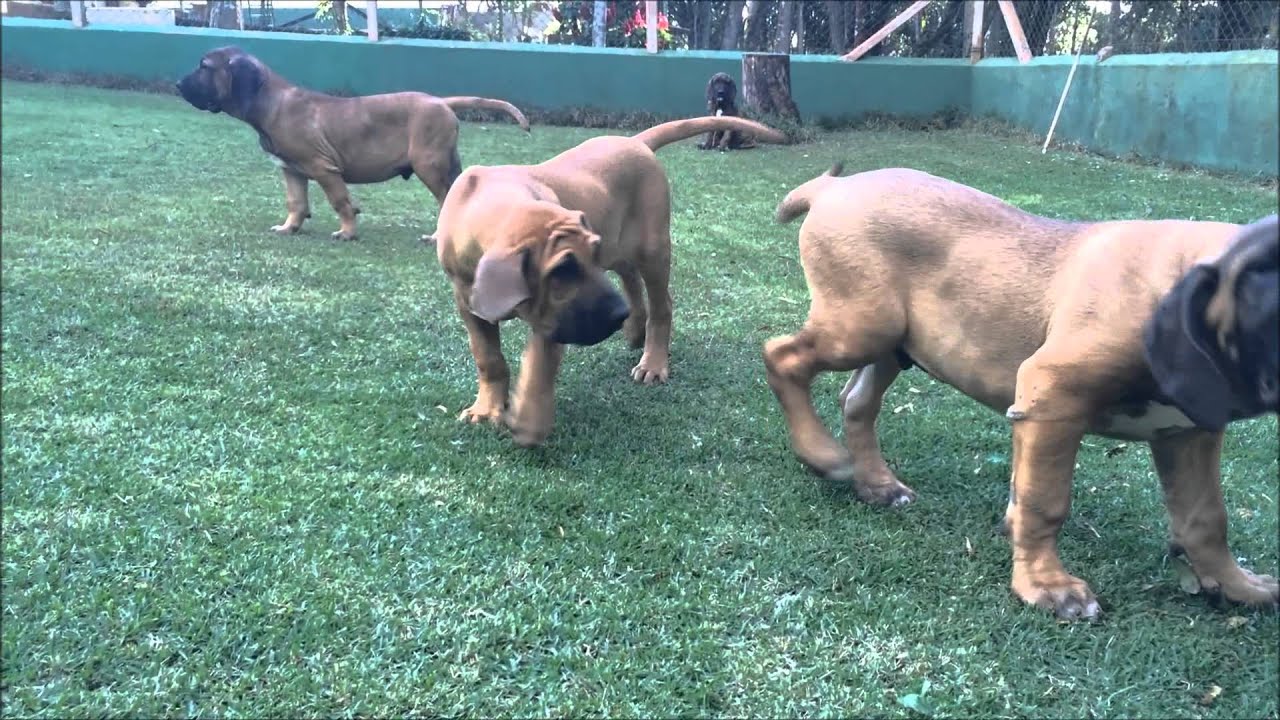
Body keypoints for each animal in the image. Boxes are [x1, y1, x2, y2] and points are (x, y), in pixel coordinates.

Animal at [174, 46, 524, 239]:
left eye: (205, 67)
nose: (177, 84)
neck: (271, 102)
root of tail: (441, 102)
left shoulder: (324, 169)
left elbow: (341, 202)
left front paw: (347, 232)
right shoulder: (292, 171)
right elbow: (296, 202)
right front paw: (290, 228)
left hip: (430, 165)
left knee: (445, 199)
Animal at [435, 114, 783, 445]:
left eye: (589, 253)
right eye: (562, 270)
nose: (617, 315)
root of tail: (635, 141)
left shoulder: (557, 318)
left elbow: (539, 367)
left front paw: (530, 420)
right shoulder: (469, 302)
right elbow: (488, 358)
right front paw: (486, 409)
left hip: (652, 248)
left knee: (661, 305)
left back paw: (652, 362)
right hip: (619, 248)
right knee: (630, 278)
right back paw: (635, 329)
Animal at [762, 162, 1274, 617]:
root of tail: (833, 185)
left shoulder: (1186, 434)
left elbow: (1206, 518)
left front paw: (1237, 584)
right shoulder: (1053, 396)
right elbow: (1046, 502)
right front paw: (1048, 586)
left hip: (892, 343)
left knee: (856, 402)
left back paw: (878, 485)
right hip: (860, 328)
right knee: (782, 358)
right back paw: (823, 455)